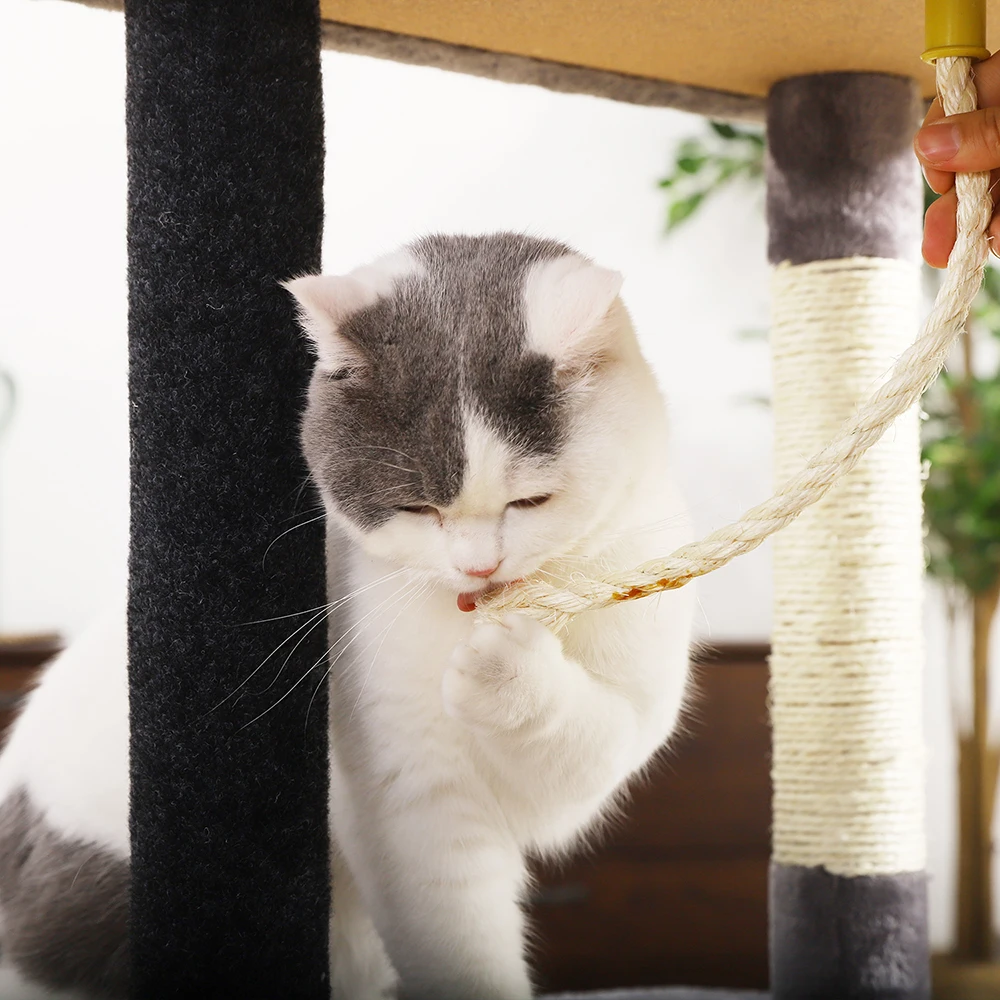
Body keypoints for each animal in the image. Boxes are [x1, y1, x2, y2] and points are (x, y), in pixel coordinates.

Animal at [0, 234, 692, 1000]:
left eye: (530, 501)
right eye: (417, 507)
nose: (478, 566)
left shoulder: (628, 703)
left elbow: (590, 746)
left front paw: (504, 670)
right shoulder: (408, 794)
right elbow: (453, 930)